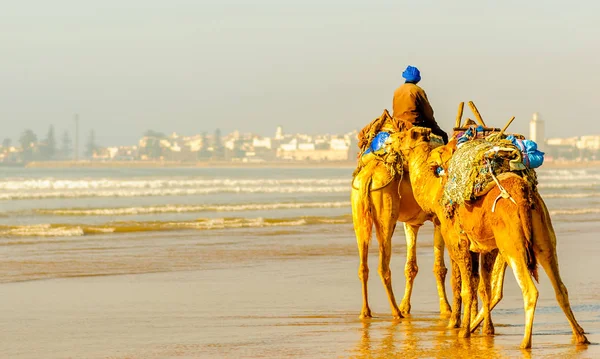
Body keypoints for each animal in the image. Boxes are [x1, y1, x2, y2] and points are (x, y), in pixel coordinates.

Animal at [352, 111, 450, 320]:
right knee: (383, 265)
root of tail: (369, 176)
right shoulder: (439, 220)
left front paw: (407, 306)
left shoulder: (411, 224)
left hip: (359, 213)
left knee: (363, 264)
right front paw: (447, 309)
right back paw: (395, 311)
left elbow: (410, 267)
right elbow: (439, 267)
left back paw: (367, 312)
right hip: (386, 216)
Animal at [394, 126, 592, 348]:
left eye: (403, 136)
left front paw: (462, 330)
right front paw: (483, 329)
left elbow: (464, 287)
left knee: (530, 289)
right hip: (543, 236)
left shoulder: (457, 242)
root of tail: (522, 195)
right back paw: (580, 336)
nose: (391, 141)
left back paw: (525, 342)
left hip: (511, 245)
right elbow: (482, 287)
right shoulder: (486, 246)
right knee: (560, 287)